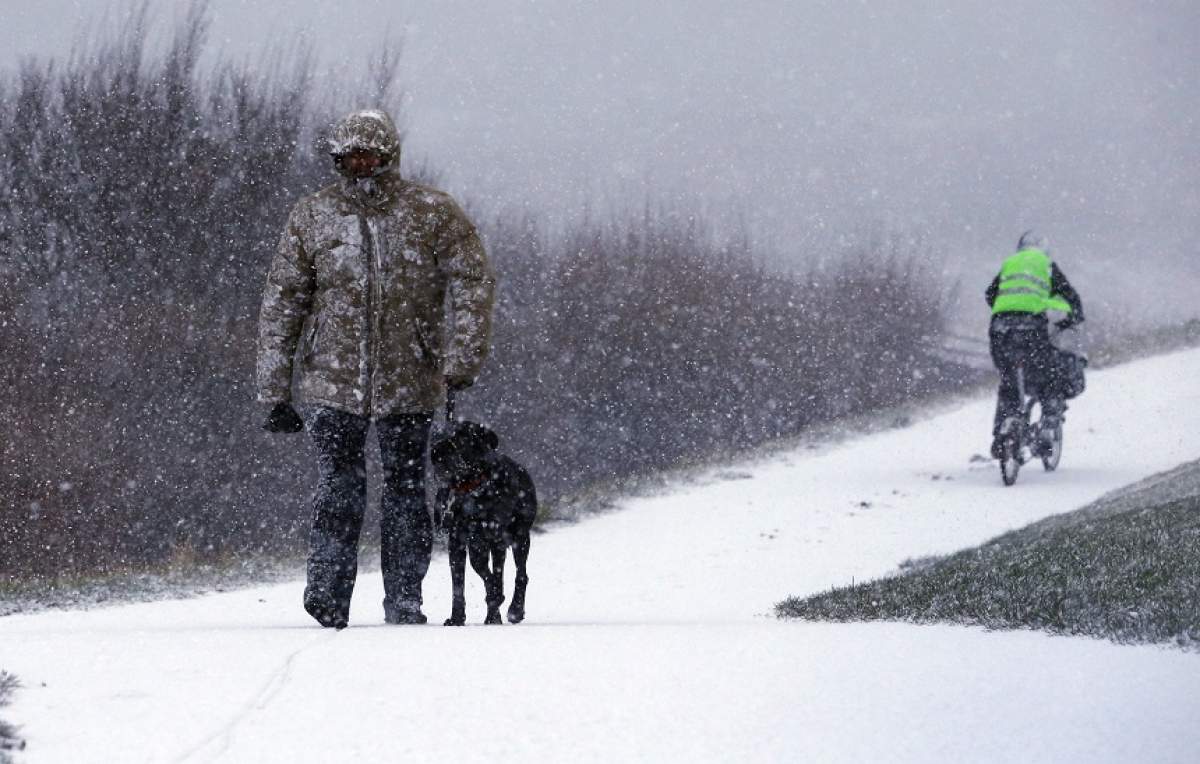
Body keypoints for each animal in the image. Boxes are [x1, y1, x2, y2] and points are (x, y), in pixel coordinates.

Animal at [432, 419, 535, 623]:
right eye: (436, 435)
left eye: (460, 436)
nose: (437, 451)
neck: (469, 487)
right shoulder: (457, 541)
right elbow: (459, 582)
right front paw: (457, 618)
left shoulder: (489, 536)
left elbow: (486, 572)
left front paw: (499, 600)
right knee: (494, 570)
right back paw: (493, 615)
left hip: (519, 536)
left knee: (521, 574)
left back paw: (515, 609)